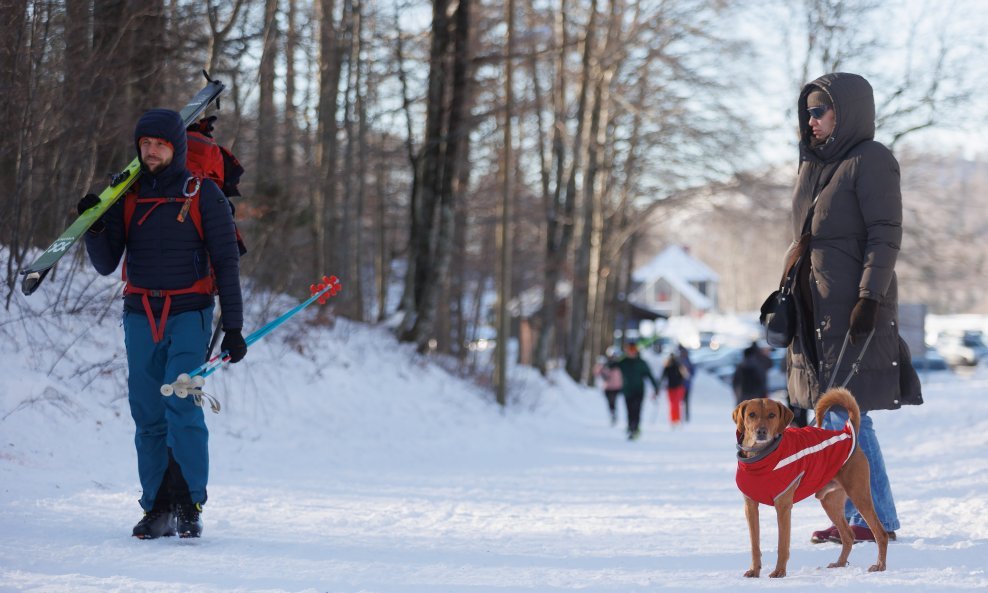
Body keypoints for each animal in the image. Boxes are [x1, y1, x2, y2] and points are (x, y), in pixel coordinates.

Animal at [732, 388, 888, 580]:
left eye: (772, 415)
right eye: (751, 414)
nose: (761, 432)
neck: (761, 459)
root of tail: (849, 434)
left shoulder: (783, 506)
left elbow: (782, 544)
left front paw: (779, 572)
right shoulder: (750, 507)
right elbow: (755, 545)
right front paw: (754, 570)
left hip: (860, 496)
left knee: (880, 533)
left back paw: (879, 565)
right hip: (830, 502)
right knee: (848, 536)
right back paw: (839, 563)